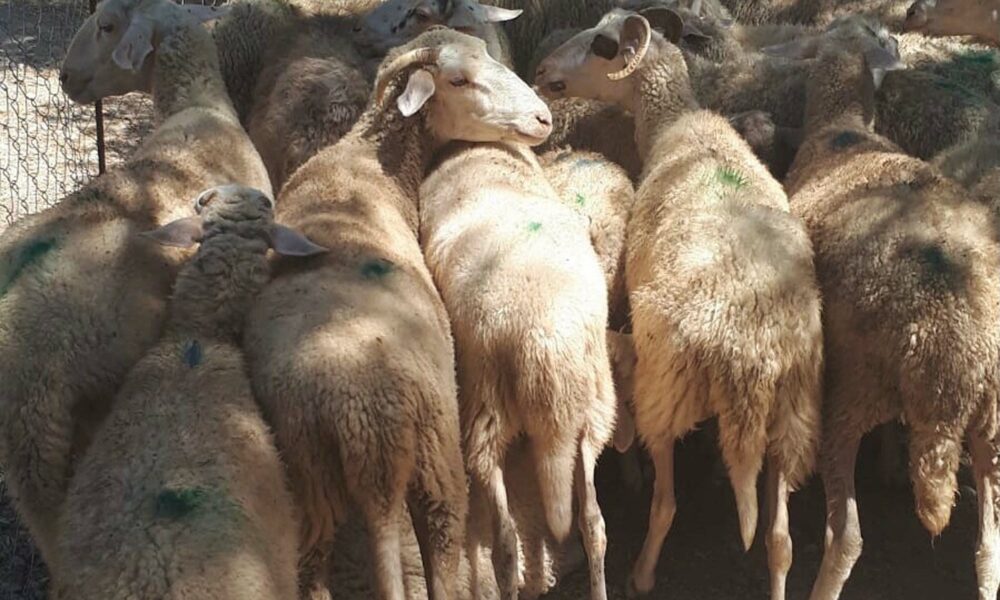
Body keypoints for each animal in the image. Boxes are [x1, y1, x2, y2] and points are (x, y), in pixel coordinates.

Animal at [242, 27, 554, 600]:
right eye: (458, 80)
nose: (543, 119)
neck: (364, 161)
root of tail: (362, 418)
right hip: (437, 455)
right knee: (443, 548)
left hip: (312, 474)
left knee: (313, 565)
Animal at [535, 8, 824, 599]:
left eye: (601, 45)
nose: (542, 70)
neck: (679, 124)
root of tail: (749, 353)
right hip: (793, 415)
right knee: (779, 539)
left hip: (665, 394)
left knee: (666, 504)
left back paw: (642, 573)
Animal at [779, 32, 1000, 600]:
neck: (841, 128)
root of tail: (953, 353)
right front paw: (889, 466)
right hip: (990, 421)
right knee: (989, 548)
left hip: (850, 393)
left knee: (846, 539)